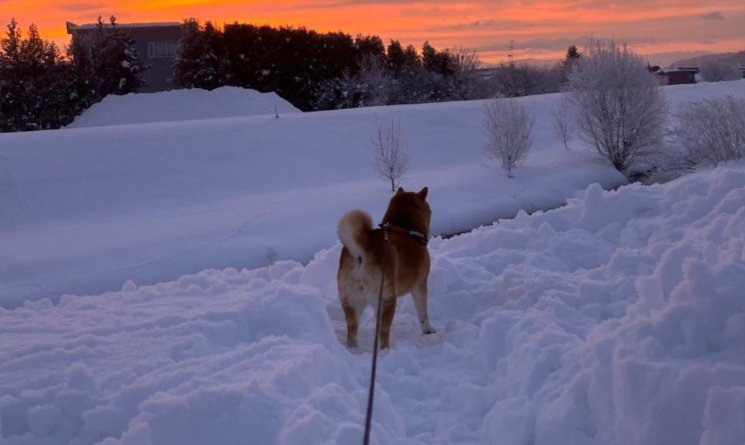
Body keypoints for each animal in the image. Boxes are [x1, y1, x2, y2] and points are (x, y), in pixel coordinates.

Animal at [336, 186, 434, 348]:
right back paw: (385, 350)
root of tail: (362, 252)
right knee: (383, 331)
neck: (405, 226)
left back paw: (354, 348)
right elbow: (423, 312)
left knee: (352, 329)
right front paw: (428, 330)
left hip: (352, 300)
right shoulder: (420, 284)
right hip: (387, 300)